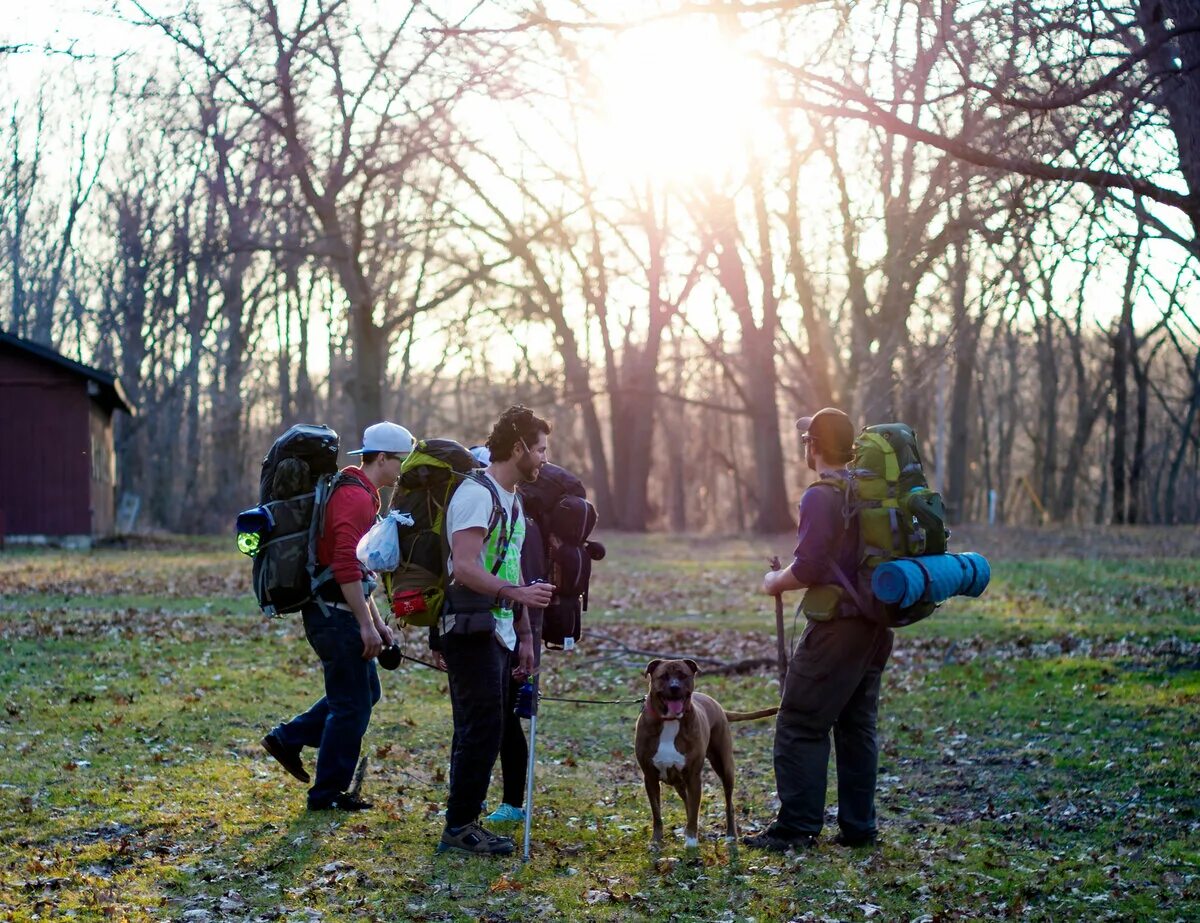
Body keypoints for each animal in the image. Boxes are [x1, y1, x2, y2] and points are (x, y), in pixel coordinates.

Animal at [638, 652, 777, 849]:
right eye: (663, 676)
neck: (670, 721)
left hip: (725, 766)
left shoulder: (693, 777)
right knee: (687, 802)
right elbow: (657, 813)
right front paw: (656, 841)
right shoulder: (650, 777)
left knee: (728, 803)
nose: (674, 687)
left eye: (683, 675)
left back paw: (730, 835)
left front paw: (691, 840)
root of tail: (717, 704)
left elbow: (694, 811)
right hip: (679, 781)